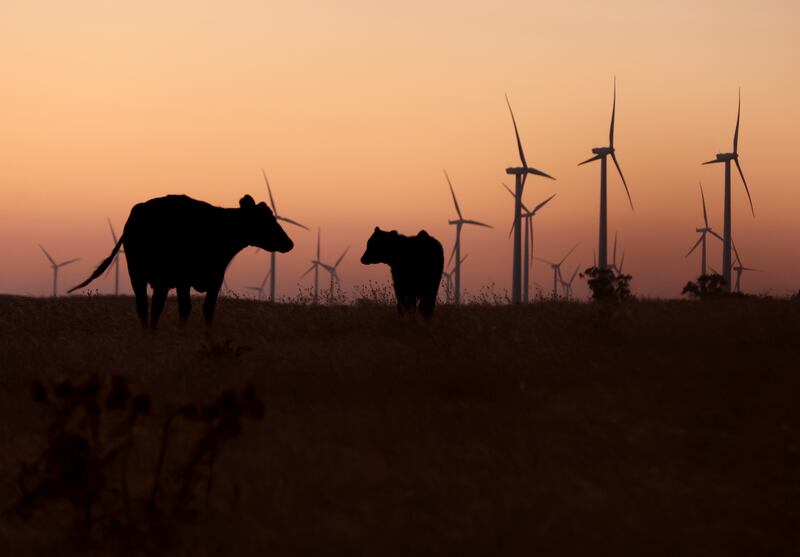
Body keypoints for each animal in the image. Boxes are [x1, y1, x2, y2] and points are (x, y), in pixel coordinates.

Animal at [69, 194, 294, 328]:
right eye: (267, 220)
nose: (289, 243)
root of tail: (137, 212)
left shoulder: (216, 277)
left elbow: (208, 310)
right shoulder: (184, 280)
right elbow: (186, 309)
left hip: (156, 280)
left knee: (152, 308)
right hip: (139, 274)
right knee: (146, 308)